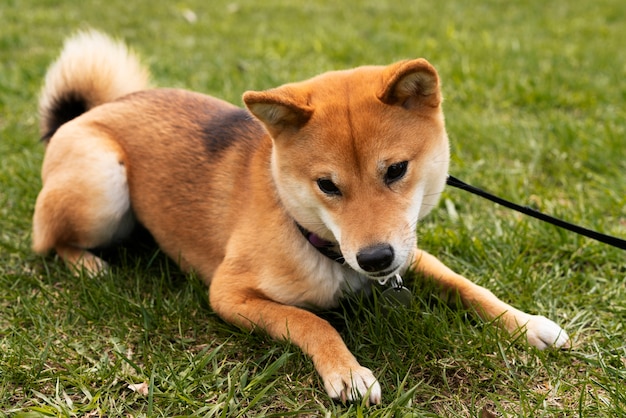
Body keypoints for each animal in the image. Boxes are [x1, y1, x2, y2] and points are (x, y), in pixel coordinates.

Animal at [34, 31, 568, 404]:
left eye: (396, 170)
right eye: (327, 185)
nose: (375, 259)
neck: (319, 243)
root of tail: (95, 109)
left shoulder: (409, 251)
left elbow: (467, 286)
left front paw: (526, 323)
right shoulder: (229, 293)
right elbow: (311, 321)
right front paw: (347, 371)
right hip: (103, 184)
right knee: (48, 241)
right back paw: (88, 265)